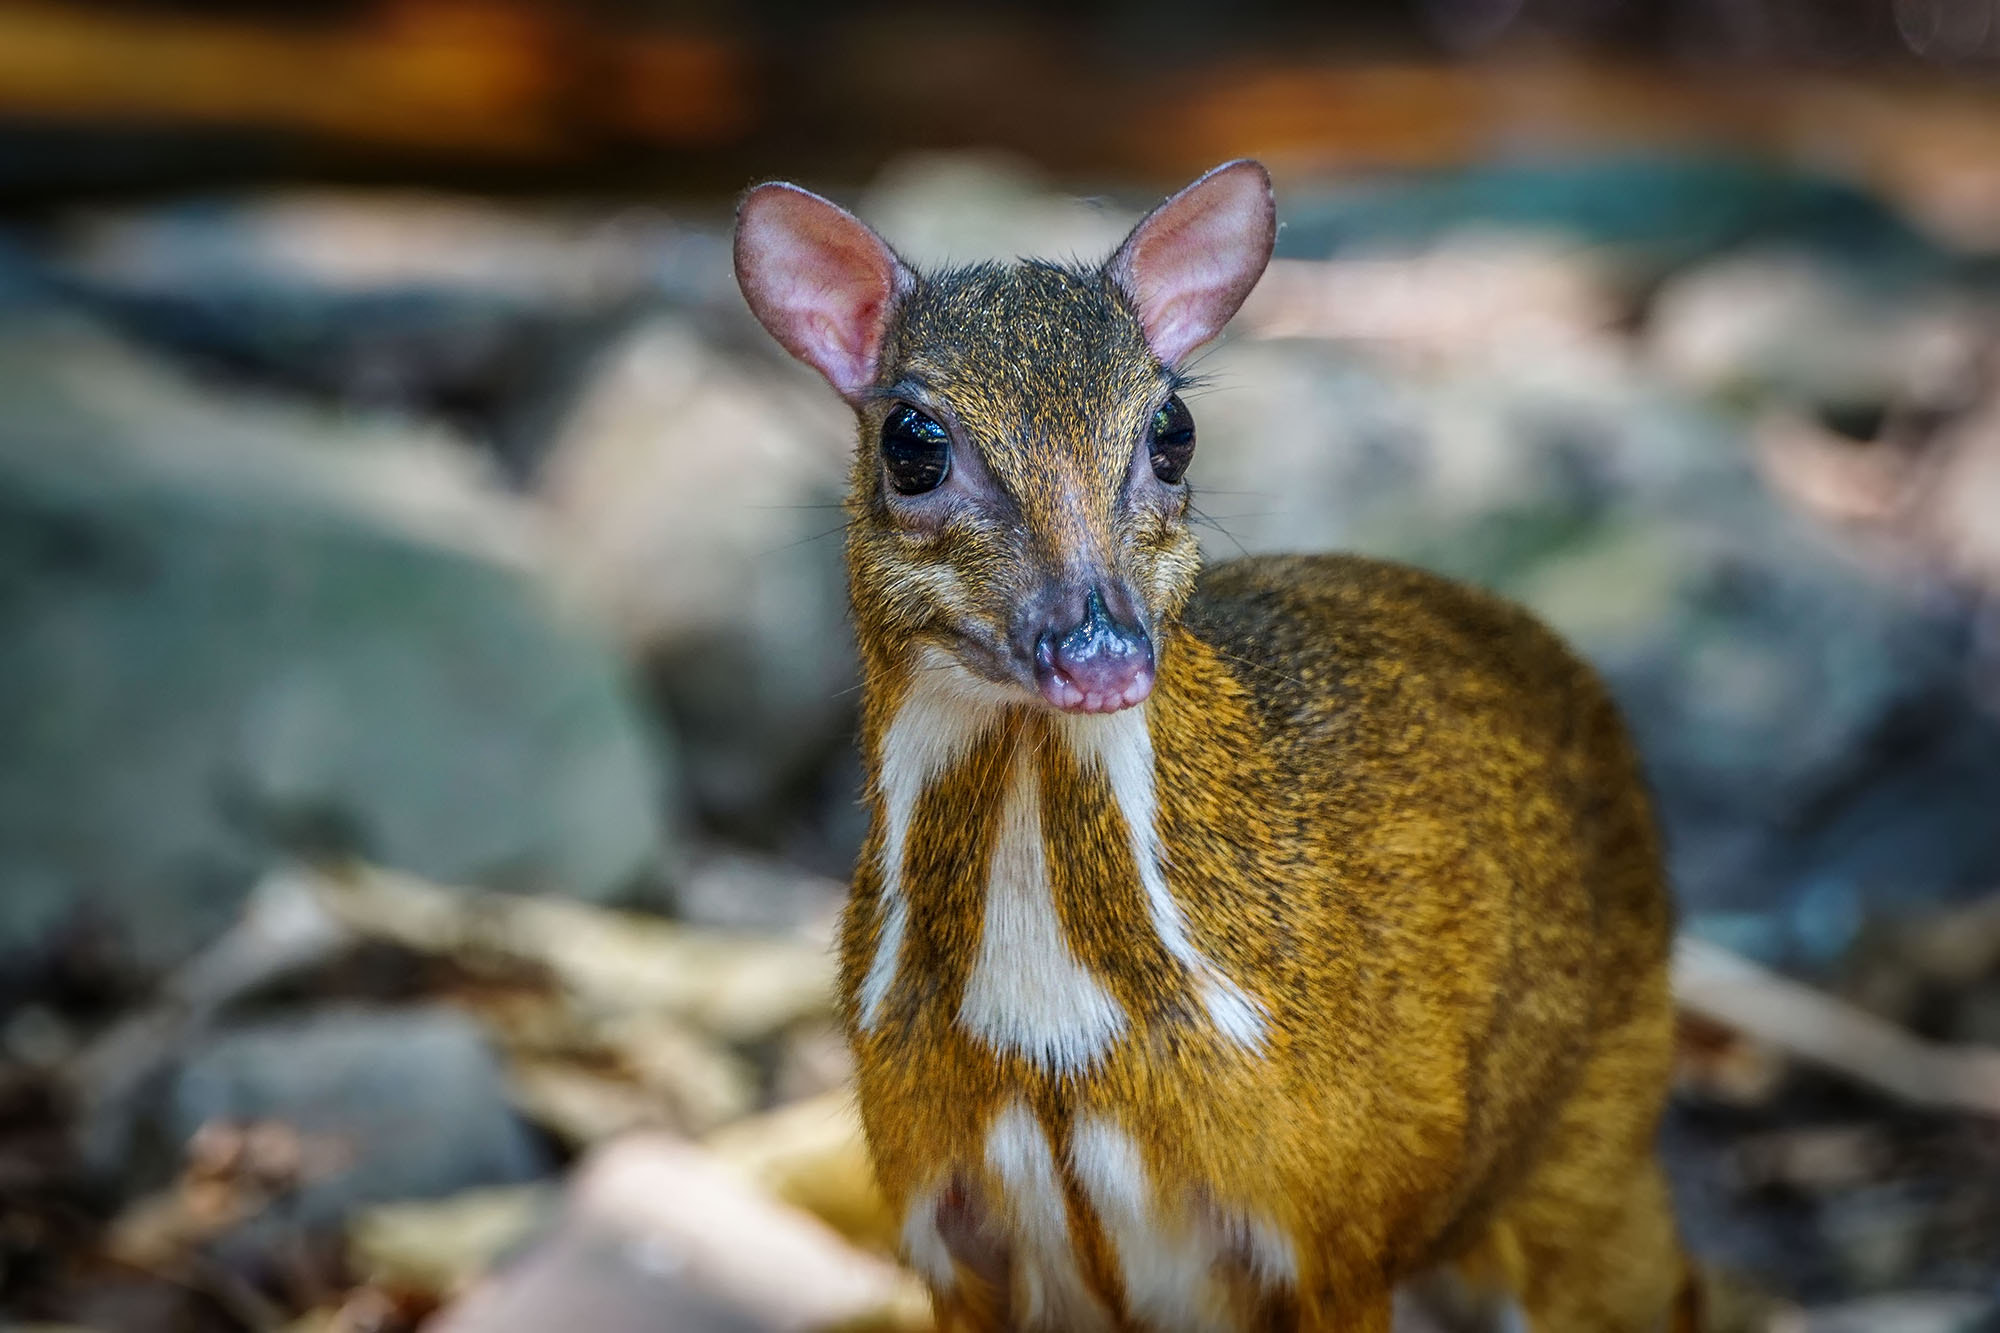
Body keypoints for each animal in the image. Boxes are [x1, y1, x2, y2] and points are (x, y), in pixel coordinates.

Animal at [736, 161, 1688, 1320]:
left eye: (1172, 428)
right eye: (911, 443)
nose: (1097, 648)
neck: (1049, 1033)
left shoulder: (1330, 1228)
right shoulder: (946, 1231)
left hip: (1592, 1166)